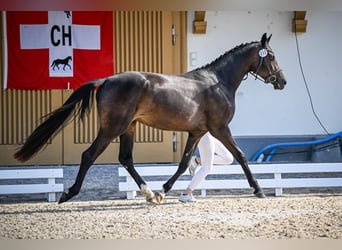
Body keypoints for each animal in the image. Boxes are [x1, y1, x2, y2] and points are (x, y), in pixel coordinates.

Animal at [14, 33, 286, 203]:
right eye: (271, 55)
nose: (282, 81)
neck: (217, 81)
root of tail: (107, 80)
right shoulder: (220, 128)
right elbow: (240, 156)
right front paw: (259, 189)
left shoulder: (197, 132)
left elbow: (184, 163)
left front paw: (164, 190)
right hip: (112, 128)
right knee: (89, 155)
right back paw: (68, 193)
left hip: (129, 128)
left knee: (126, 158)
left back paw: (149, 193)